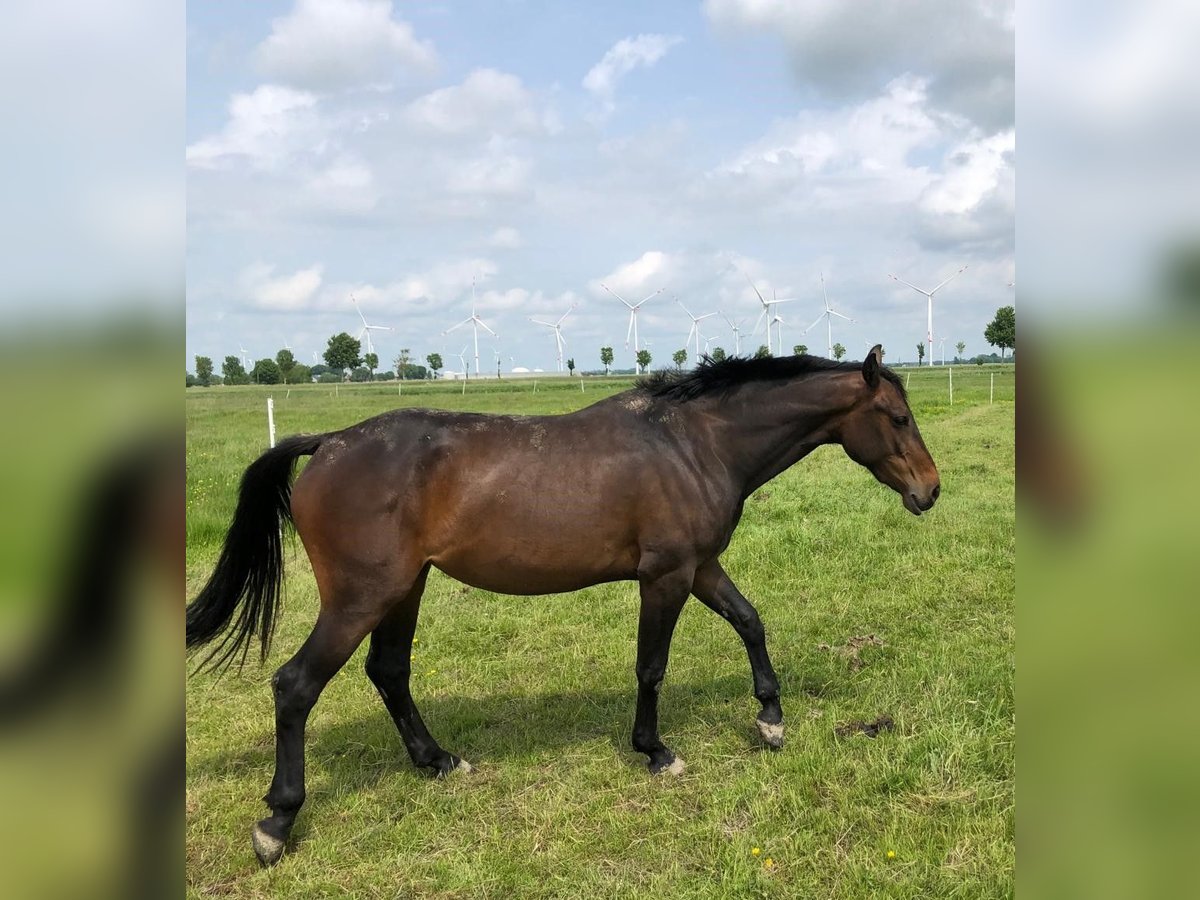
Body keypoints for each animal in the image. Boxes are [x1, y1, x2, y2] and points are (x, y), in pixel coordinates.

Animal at [186, 346, 940, 866]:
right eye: (898, 418)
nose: (930, 491)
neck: (694, 443)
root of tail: (329, 443)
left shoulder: (701, 567)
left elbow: (750, 621)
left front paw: (771, 720)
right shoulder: (666, 576)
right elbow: (651, 667)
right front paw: (656, 751)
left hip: (404, 590)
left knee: (389, 673)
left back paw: (439, 761)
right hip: (360, 598)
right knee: (296, 686)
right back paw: (276, 824)